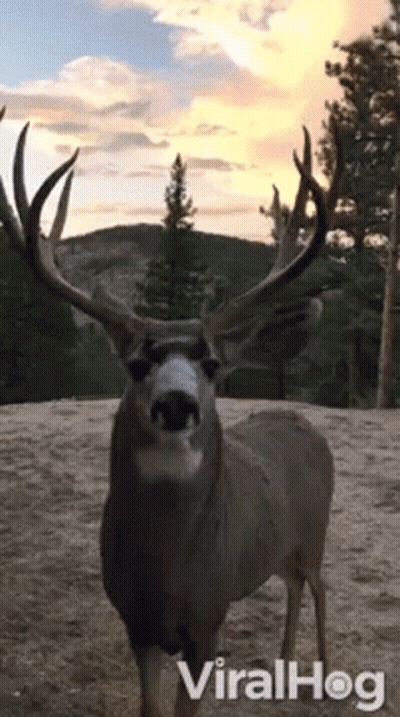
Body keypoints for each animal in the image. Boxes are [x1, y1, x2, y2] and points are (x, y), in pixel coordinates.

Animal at [0, 107, 334, 717]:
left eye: (212, 364)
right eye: (135, 363)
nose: (176, 404)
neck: (168, 573)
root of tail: (305, 424)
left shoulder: (208, 622)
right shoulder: (137, 624)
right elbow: (150, 707)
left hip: (315, 531)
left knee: (320, 584)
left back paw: (322, 671)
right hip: (277, 548)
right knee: (294, 585)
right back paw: (282, 663)